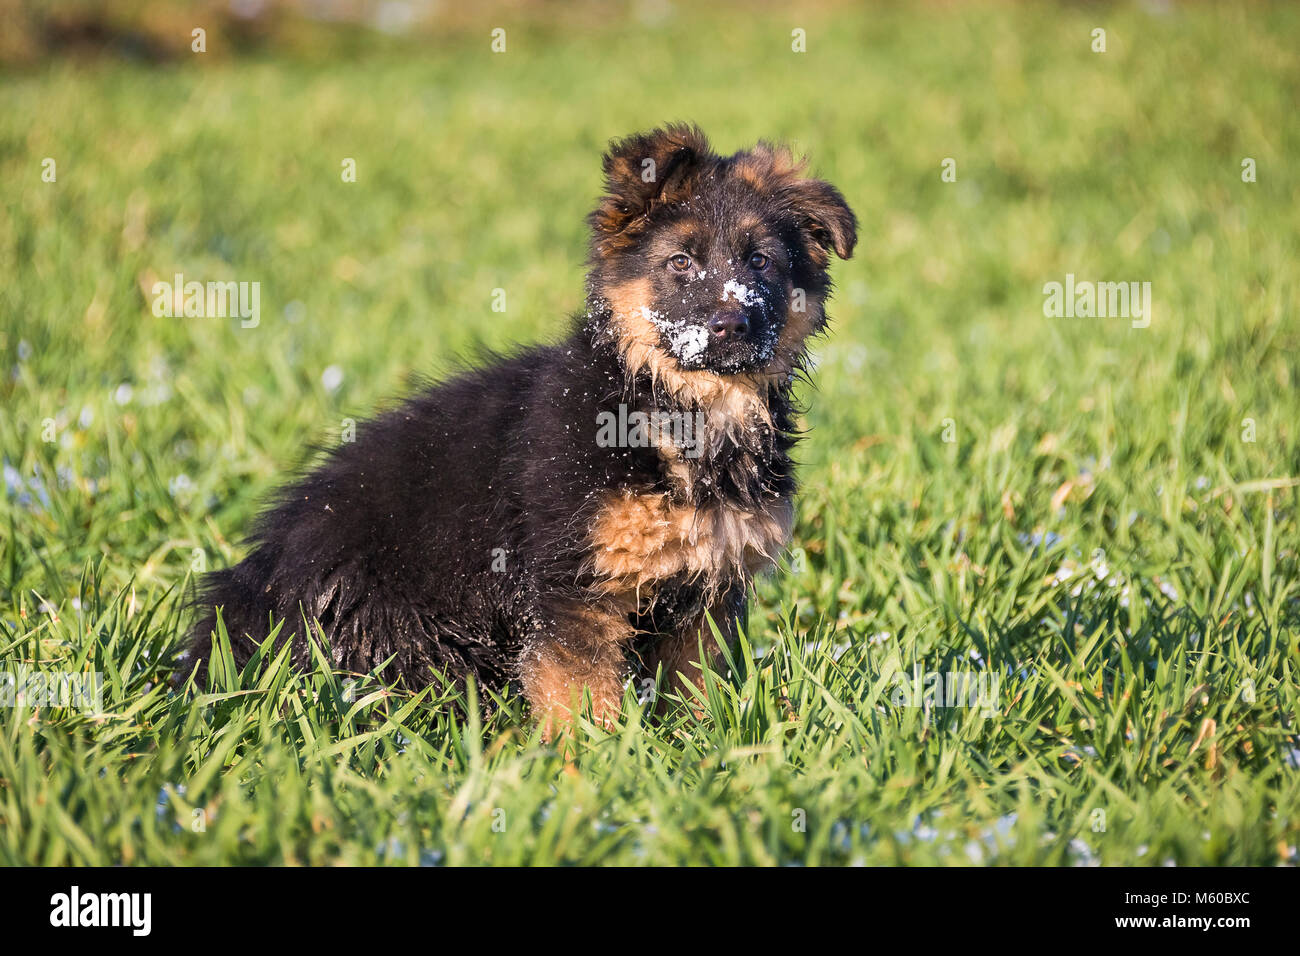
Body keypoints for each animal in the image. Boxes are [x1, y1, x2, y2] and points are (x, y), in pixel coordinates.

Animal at [183, 127, 852, 733]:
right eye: (680, 263)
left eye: (760, 261)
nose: (732, 325)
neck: (671, 409)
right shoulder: (572, 586)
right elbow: (582, 699)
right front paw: (595, 767)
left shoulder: (707, 589)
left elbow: (695, 690)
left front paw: (701, 749)